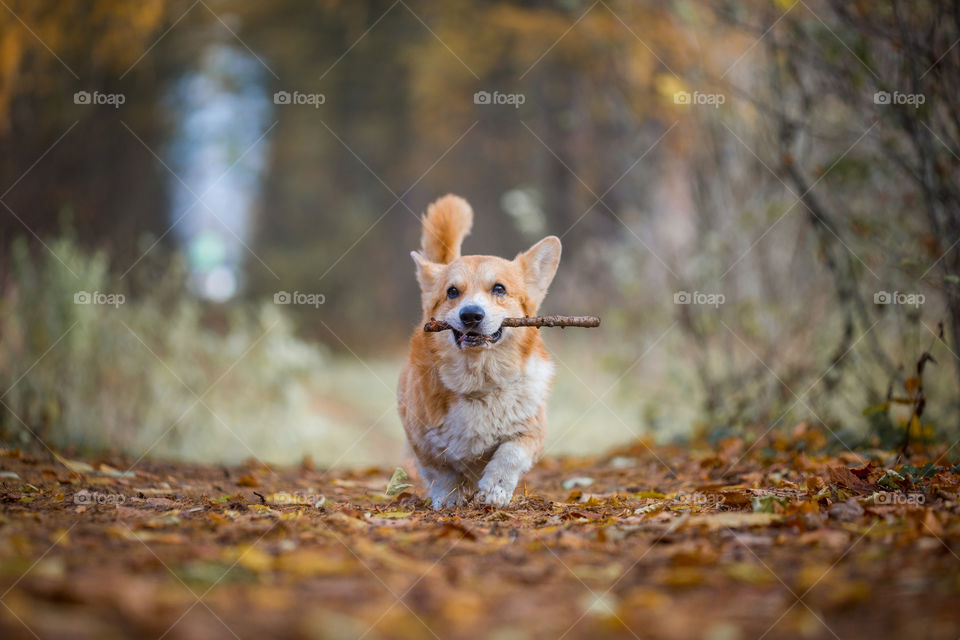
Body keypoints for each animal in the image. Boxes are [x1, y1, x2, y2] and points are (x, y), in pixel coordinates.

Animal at [398, 195, 564, 510]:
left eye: (499, 288)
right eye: (452, 292)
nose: (471, 315)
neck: (478, 381)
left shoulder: (530, 431)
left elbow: (510, 454)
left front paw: (495, 491)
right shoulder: (423, 443)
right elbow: (443, 473)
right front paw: (450, 500)